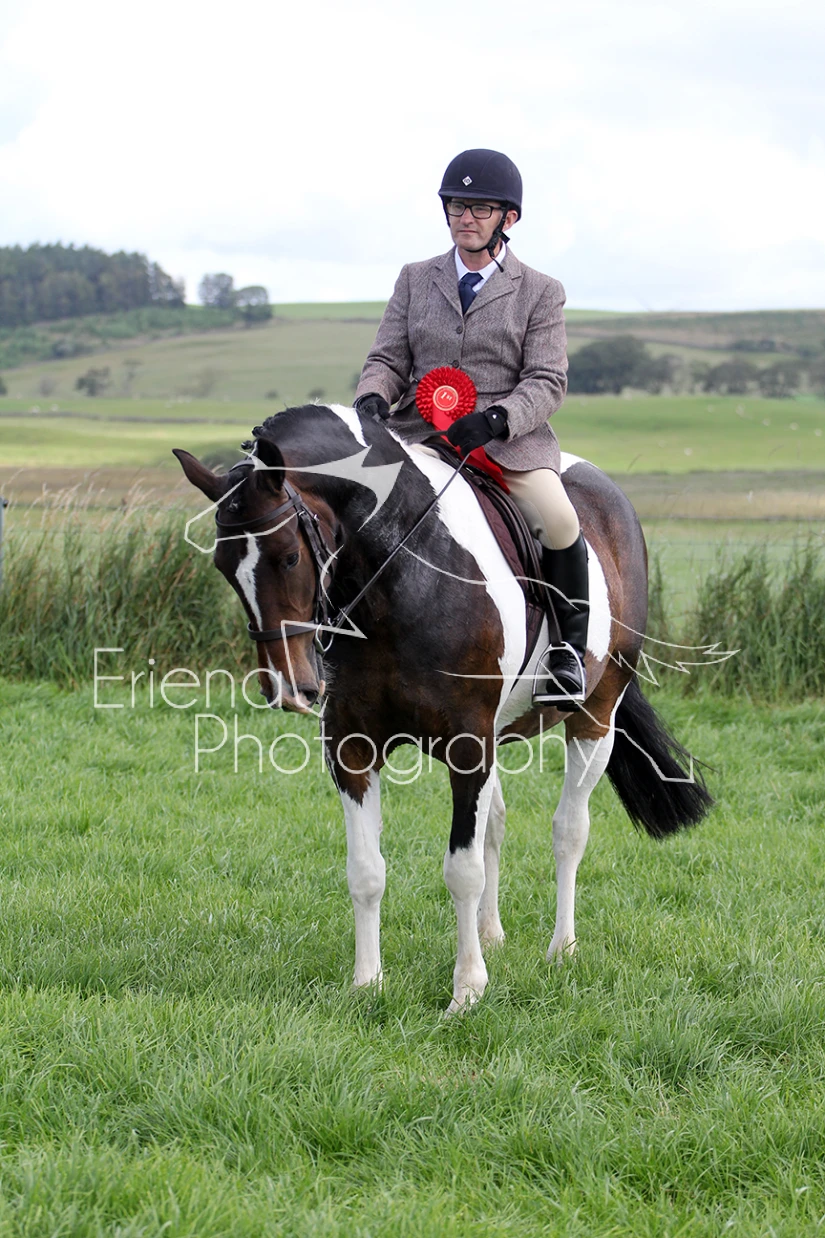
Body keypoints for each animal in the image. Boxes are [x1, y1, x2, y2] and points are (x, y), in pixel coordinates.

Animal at [174, 402, 712, 1015]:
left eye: (289, 557)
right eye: (223, 567)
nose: (290, 689)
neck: (399, 577)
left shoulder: (466, 745)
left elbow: (462, 869)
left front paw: (467, 991)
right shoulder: (352, 747)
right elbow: (366, 870)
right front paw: (367, 984)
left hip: (595, 713)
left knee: (569, 829)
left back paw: (562, 949)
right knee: (496, 823)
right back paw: (491, 934)